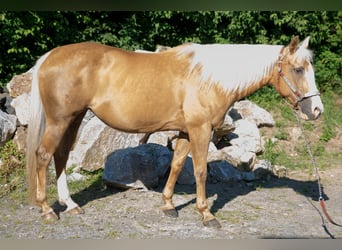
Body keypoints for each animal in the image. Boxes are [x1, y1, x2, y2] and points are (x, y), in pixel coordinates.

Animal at [26, 35, 324, 229]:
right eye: (298, 69)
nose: (316, 110)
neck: (210, 78)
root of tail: (51, 56)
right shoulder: (201, 130)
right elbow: (201, 170)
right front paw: (206, 214)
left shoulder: (185, 132)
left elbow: (178, 164)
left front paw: (168, 205)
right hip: (60, 120)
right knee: (44, 155)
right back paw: (47, 210)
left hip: (73, 119)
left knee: (61, 156)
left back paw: (70, 204)